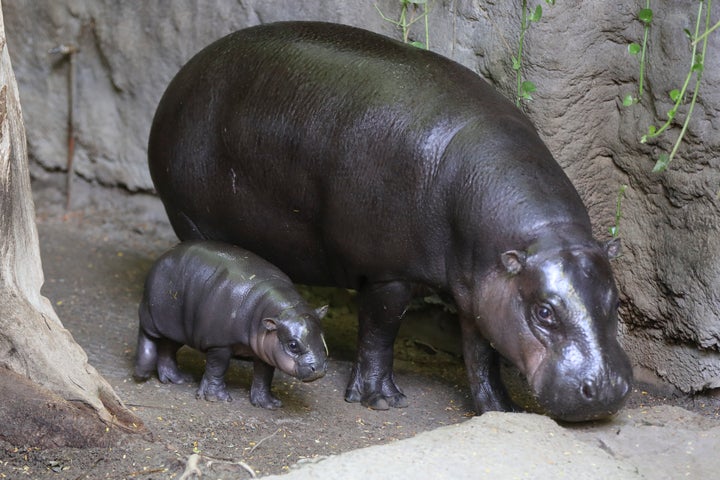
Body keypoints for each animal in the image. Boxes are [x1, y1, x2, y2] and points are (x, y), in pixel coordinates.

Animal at [133, 240, 330, 408]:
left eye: (322, 336)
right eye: (293, 345)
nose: (319, 369)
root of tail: (166, 254)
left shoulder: (266, 349)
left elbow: (264, 375)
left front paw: (268, 404)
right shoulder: (219, 344)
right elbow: (217, 369)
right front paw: (217, 398)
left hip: (176, 328)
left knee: (167, 348)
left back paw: (178, 379)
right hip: (153, 316)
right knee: (147, 337)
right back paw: (142, 374)